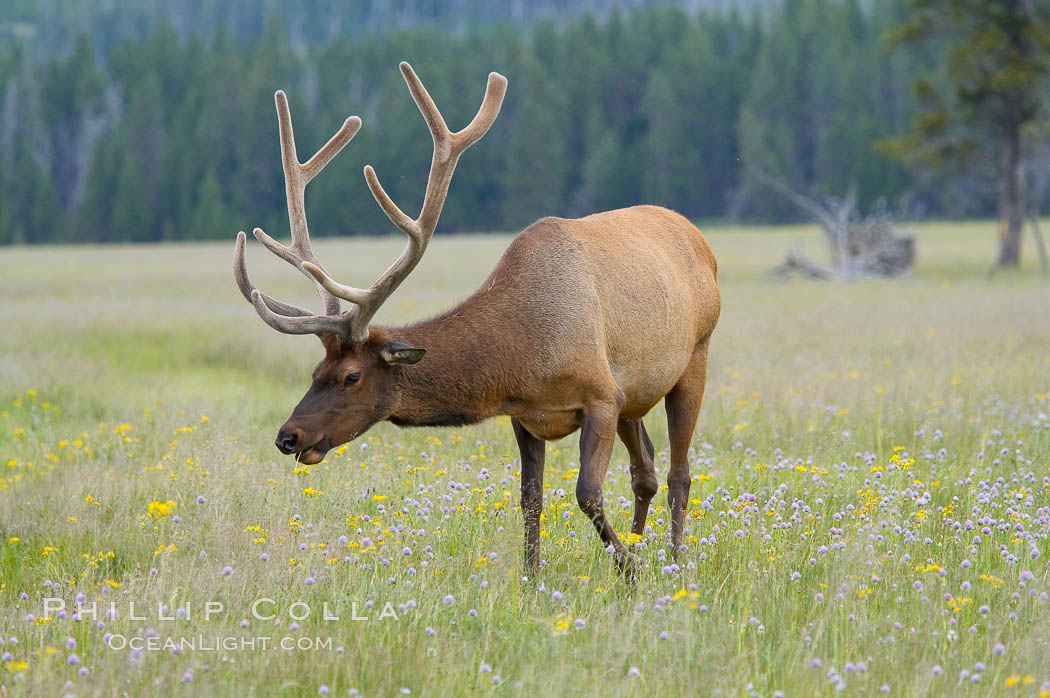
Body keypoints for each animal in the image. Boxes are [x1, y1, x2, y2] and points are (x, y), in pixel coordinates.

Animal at [233, 62, 718, 570]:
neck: (523, 357)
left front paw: (628, 567)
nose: (288, 436)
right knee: (645, 470)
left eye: (351, 376)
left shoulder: (603, 395)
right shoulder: (527, 415)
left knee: (679, 473)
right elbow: (531, 498)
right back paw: (644, 543)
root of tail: (698, 237)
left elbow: (587, 492)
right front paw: (533, 575)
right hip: (637, 395)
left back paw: (673, 558)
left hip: (694, 357)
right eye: (314, 371)